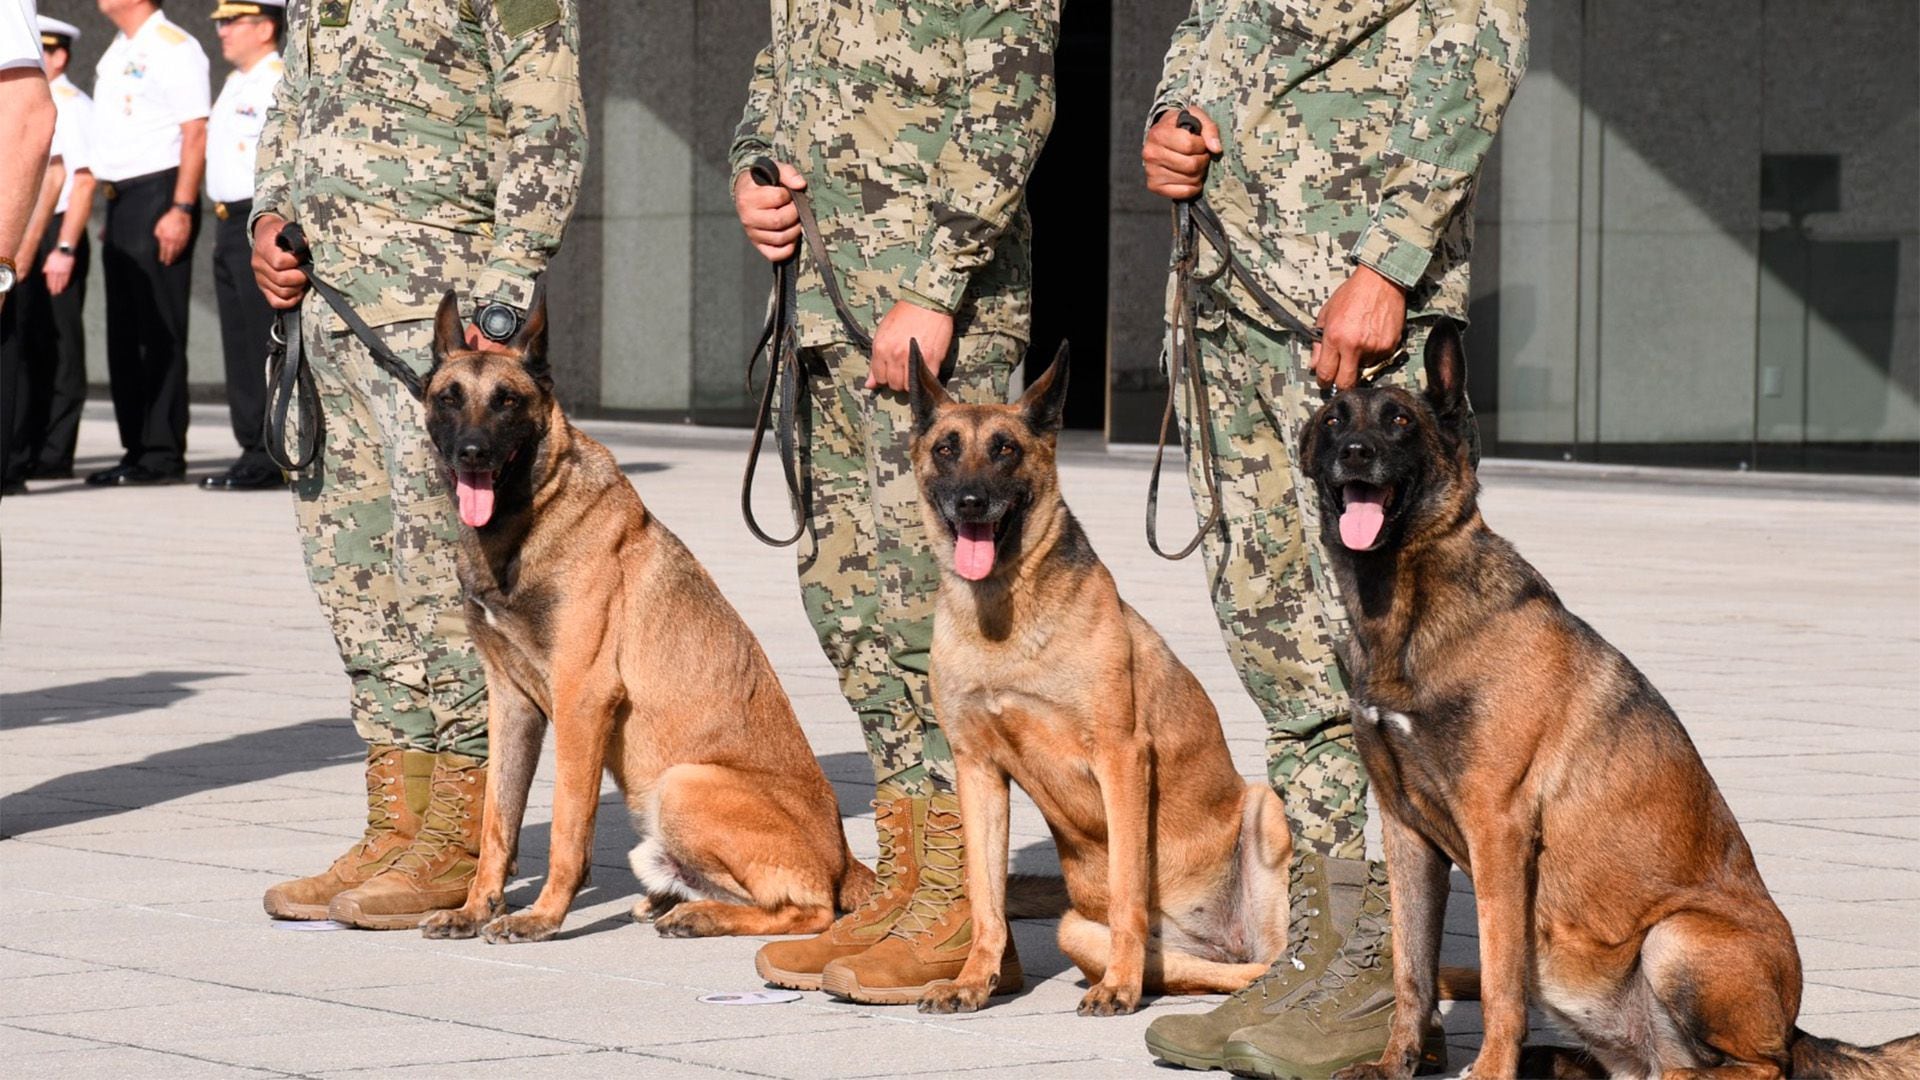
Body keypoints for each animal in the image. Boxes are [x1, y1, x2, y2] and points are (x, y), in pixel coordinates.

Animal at [422, 286, 879, 941]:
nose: (472, 454)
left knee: (808, 908)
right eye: (448, 398)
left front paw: (543, 917)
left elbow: (566, 828)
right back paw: (671, 902)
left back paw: (697, 914)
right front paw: (476, 908)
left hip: (685, 782)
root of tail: (844, 858)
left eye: (507, 401)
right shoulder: (512, 703)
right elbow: (497, 822)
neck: (527, 516)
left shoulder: (582, 700)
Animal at [898, 345, 1290, 1014]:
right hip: (1075, 927)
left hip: (1265, 813)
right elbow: (986, 900)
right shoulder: (978, 771)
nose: (971, 502)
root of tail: (1217, 940)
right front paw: (975, 979)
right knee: (1202, 972)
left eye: (1005, 449)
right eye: (947, 448)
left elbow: (1129, 889)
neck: (1002, 616)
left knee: (1268, 964)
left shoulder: (1121, 759)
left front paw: (1121, 988)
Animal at [1297, 320, 1912, 1076]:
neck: (1406, 606)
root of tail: (1797, 1026)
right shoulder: (1408, 832)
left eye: (1400, 422)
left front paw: (1489, 1068)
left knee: (1764, 1064)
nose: (1355, 454)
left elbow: (1499, 982)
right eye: (1335, 421)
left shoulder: (1497, 830)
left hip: (1675, 938)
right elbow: (1412, 969)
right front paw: (1396, 1063)